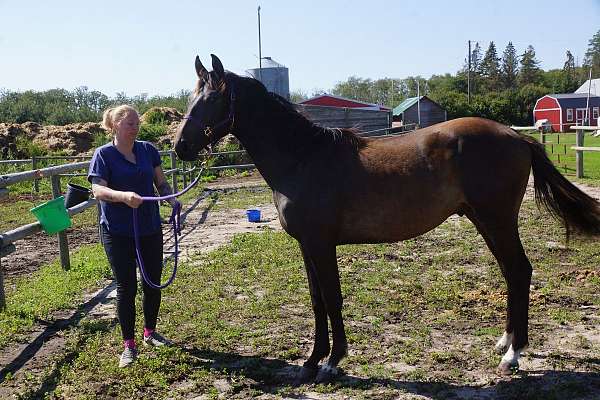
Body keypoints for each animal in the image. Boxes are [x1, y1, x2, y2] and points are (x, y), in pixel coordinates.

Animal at [173, 54, 600, 382]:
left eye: (210, 100)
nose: (179, 147)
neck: (303, 157)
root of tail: (517, 136)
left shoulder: (321, 244)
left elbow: (332, 298)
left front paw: (332, 362)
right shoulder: (307, 247)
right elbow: (316, 300)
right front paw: (311, 361)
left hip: (497, 221)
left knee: (520, 270)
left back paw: (514, 355)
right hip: (485, 221)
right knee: (512, 273)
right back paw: (506, 343)